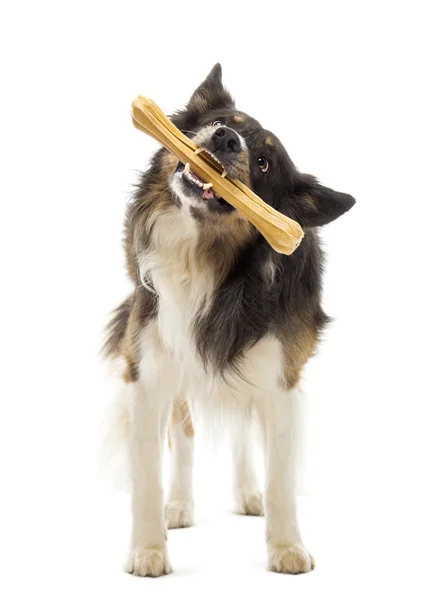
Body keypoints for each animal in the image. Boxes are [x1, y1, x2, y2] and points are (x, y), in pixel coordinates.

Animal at [103, 64, 354, 576]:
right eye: (221, 121)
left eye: (264, 163)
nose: (225, 138)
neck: (205, 259)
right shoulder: (149, 369)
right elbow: (148, 475)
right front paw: (148, 551)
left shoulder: (279, 378)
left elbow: (280, 478)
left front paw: (286, 548)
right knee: (184, 433)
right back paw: (179, 505)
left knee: (241, 430)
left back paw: (247, 492)